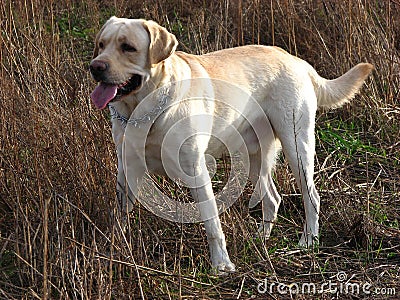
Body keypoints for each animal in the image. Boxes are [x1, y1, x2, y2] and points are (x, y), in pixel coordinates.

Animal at [89, 17, 374, 274]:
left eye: (128, 47)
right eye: (101, 44)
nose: (95, 66)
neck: (145, 110)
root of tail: (296, 60)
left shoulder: (197, 171)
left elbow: (212, 223)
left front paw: (221, 265)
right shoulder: (127, 169)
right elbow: (119, 217)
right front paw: (113, 251)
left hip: (297, 146)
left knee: (311, 196)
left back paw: (308, 241)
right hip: (254, 155)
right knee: (272, 197)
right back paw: (261, 238)